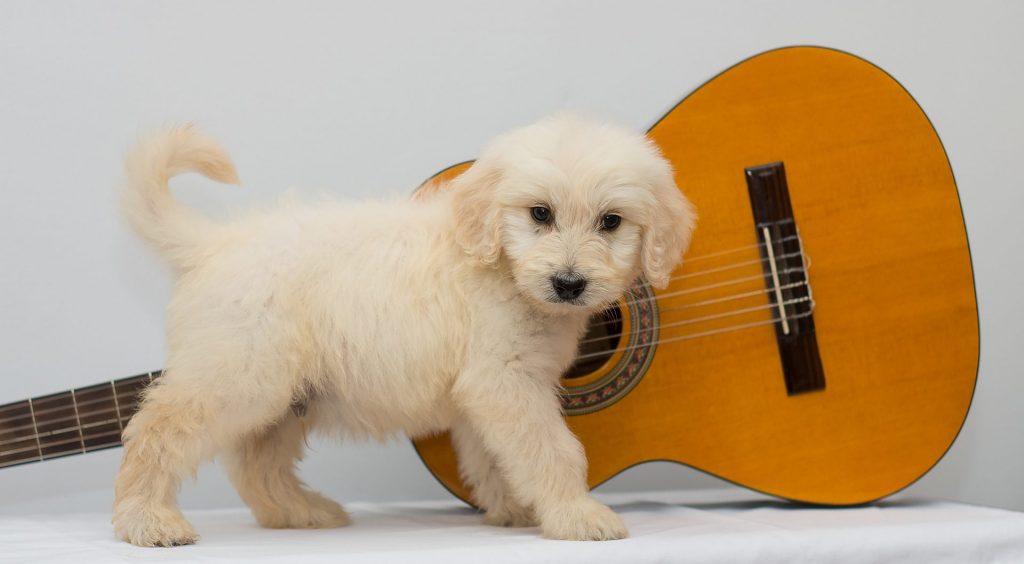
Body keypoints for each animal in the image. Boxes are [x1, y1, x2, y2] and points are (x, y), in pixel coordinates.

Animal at [116, 115, 700, 548]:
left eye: (611, 221)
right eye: (540, 213)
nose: (569, 283)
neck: (501, 267)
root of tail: (212, 242)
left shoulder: (484, 394)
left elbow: (495, 455)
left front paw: (515, 508)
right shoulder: (504, 381)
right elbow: (551, 449)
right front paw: (576, 514)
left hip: (284, 398)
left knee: (255, 465)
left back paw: (301, 511)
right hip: (237, 378)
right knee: (157, 431)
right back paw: (147, 521)